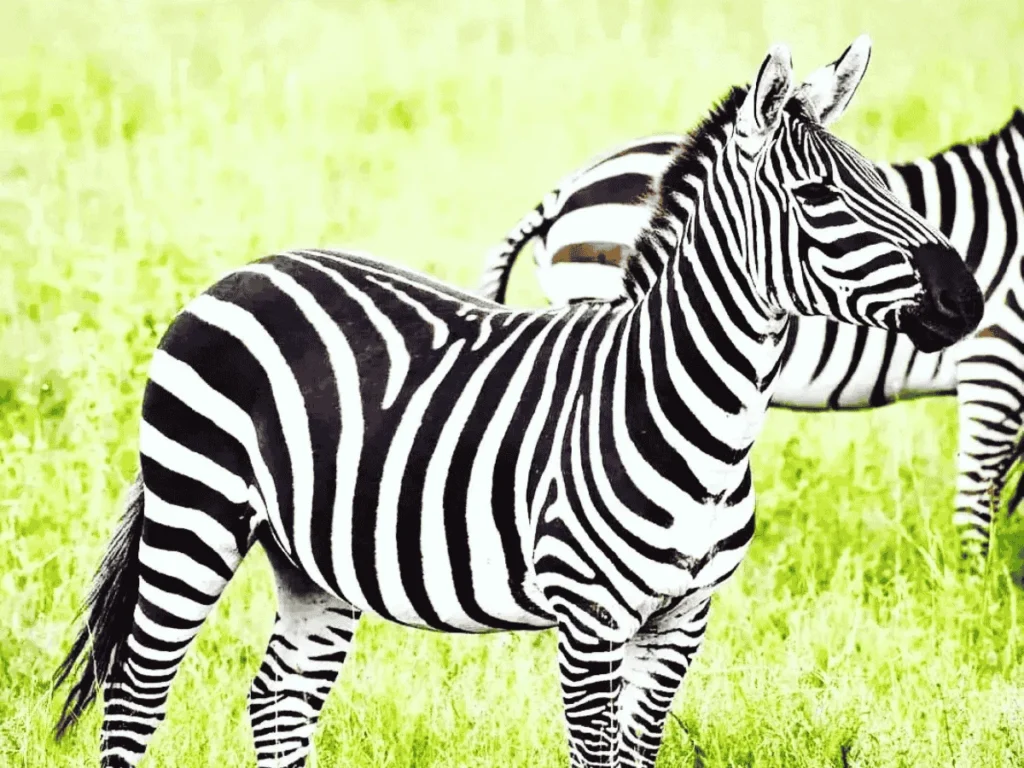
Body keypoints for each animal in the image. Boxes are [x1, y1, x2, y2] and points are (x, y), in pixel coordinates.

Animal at [477, 95, 1024, 561]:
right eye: (817, 194)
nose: (968, 298)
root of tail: (567, 189)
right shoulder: (996, 363)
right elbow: (979, 501)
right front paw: (973, 591)